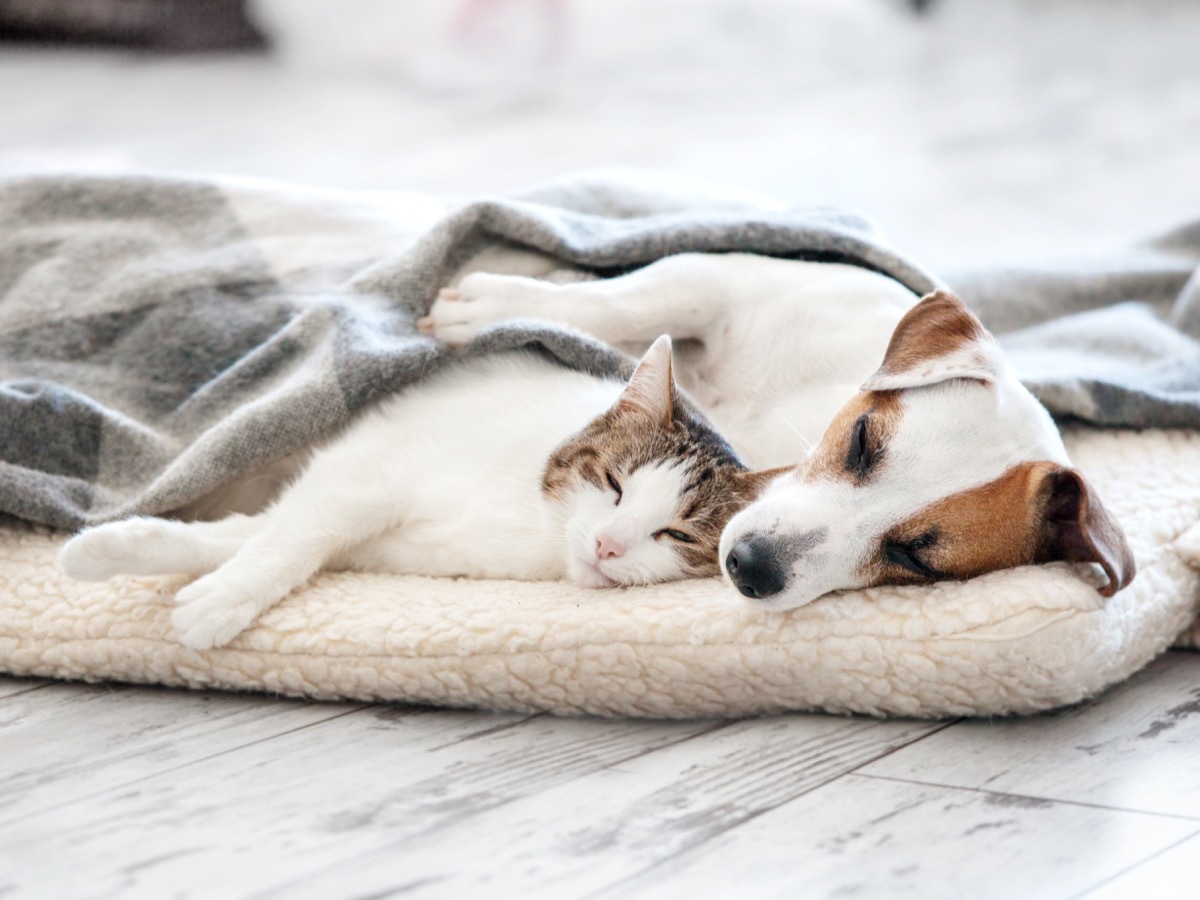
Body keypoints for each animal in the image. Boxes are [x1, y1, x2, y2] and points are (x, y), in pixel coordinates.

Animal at [60, 336, 782, 648]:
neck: (529, 525)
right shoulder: (363, 472)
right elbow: (291, 538)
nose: (607, 545)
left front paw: (133, 555)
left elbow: (254, 535)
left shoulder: (369, 529)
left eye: (675, 534)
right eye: (613, 485)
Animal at [420, 250, 1132, 609]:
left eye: (915, 559)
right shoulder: (729, 277)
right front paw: (493, 305)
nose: (749, 568)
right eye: (862, 441)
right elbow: (630, 299)